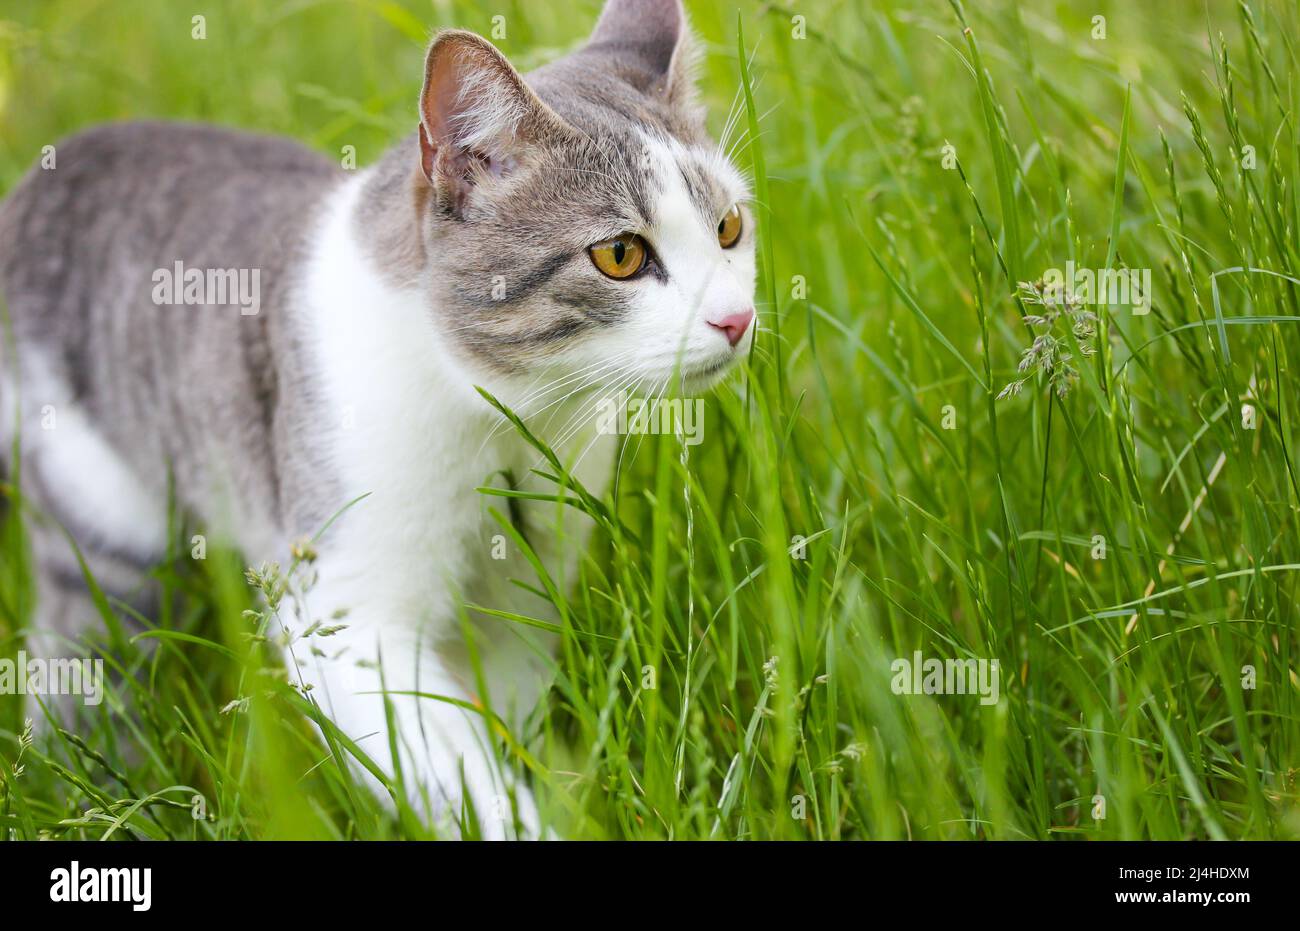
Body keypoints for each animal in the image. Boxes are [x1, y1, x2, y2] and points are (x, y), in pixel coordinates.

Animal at [0, 0, 754, 842]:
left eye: (729, 228)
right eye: (620, 254)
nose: (737, 317)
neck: (509, 417)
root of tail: (58, 161)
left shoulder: (522, 603)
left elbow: (506, 718)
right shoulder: (345, 612)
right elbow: (461, 775)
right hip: (100, 519)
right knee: (80, 659)